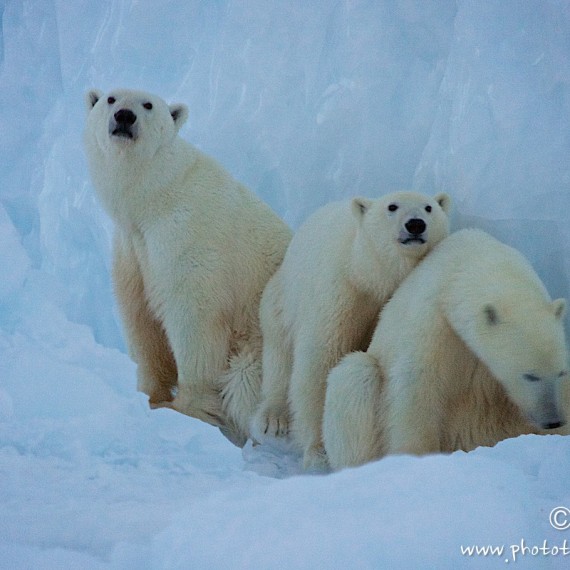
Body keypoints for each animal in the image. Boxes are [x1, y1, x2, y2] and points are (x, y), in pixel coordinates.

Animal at [83, 89, 292, 444]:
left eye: (148, 105)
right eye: (110, 99)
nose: (125, 116)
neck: (154, 197)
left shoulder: (188, 238)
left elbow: (194, 319)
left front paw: (185, 409)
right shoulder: (133, 250)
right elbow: (140, 318)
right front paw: (149, 396)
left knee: (245, 379)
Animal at [251, 191, 450, 466]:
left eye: (429, 207)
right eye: (392, 206)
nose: (415, 224)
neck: (370, 276)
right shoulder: (341, 292)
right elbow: (321, 360)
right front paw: (318, 450)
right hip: (282, 298)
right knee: (279, 352)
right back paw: (273, 417)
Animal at [322, 229, 564, 468]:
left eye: (561, 372)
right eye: (530, 376)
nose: (552, 421)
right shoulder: (433, 325)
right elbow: (416, 392)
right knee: (354, 374)